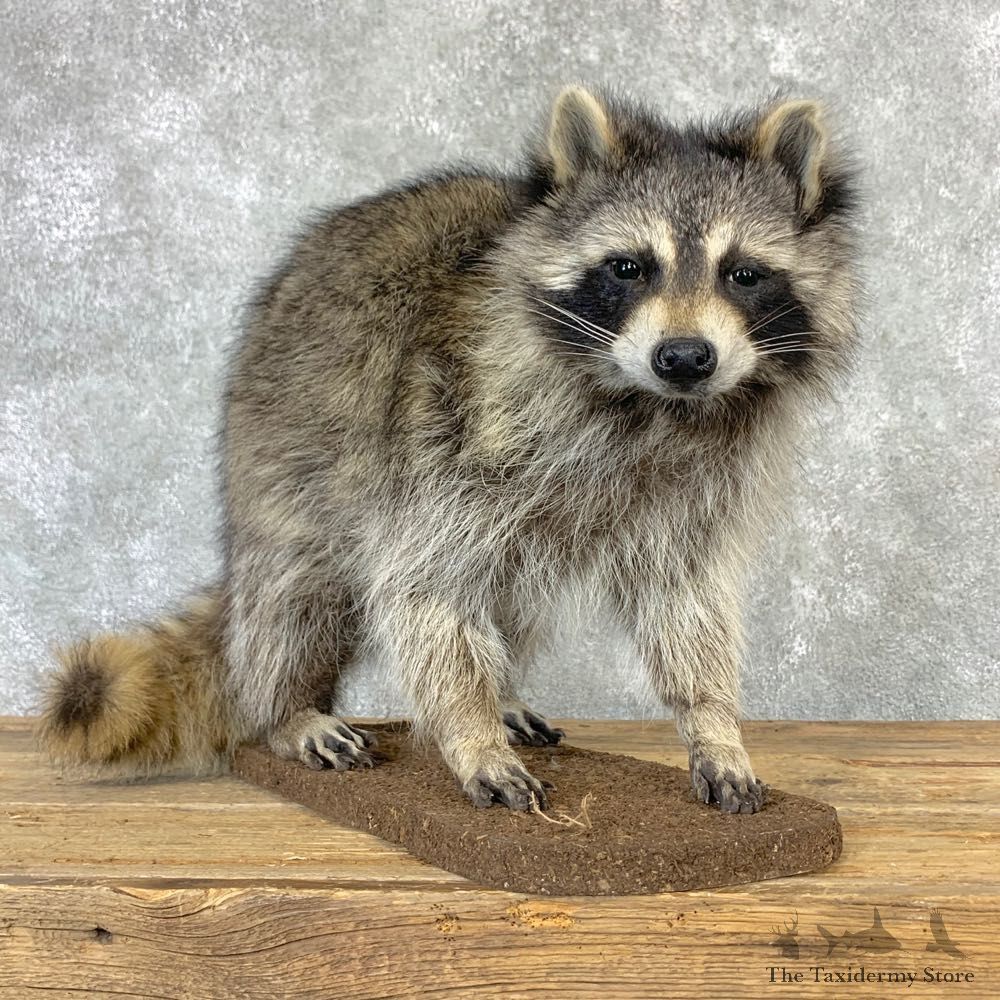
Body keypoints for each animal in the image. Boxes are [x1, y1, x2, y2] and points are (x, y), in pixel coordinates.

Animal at [37, 86, 858, 814]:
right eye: (629, 267)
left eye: (742, 272)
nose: (684, 357)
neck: (648, 407)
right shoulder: (443, 435)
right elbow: (424, 593)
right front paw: (469, 730)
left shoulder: (698, 486)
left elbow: (686, 599)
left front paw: (712, 722)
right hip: (282, 447)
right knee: (294, 595)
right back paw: (287, 708)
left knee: (511, 600)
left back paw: (505, 692)